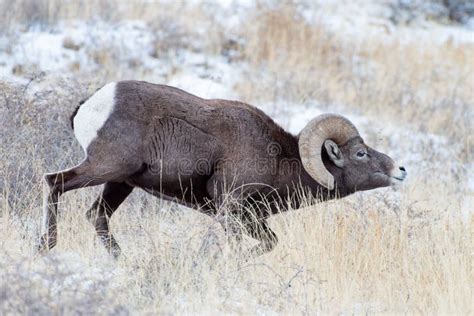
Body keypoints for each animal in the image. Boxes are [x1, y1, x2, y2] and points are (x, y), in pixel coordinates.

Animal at [39, 81, 406, 256]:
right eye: (360, 153)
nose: (400, 170)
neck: (278, 159)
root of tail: (90, 105)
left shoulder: (251, 218)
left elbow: (269, 244)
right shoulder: (230, 208)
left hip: (121, 182)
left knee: (97, 215)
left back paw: (121, 260)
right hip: (106, 167)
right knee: (54, 182)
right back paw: (47, 246)